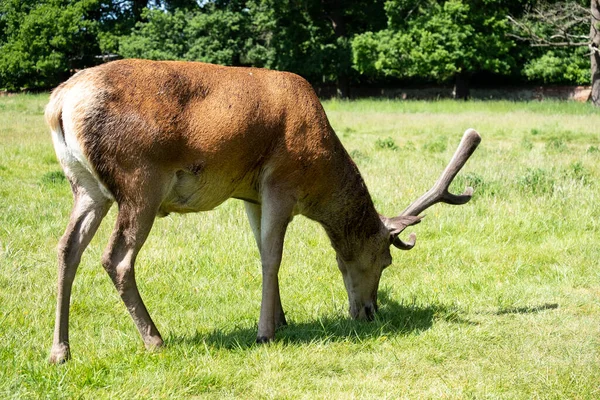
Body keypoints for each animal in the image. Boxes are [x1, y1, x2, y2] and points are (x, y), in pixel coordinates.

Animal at [43, 58, 482, 362]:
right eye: (386, 260)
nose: (369, 312)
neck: (319, 174)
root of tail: (58, 104)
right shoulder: (281, 182)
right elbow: (273, 256)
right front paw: (265, 331)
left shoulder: (251, 195)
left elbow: (260, 250)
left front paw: (281, 318)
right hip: (140, 179)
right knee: (115, 257)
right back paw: (155, 339)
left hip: (86, 186)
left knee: (68, 247)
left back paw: (60, 351)